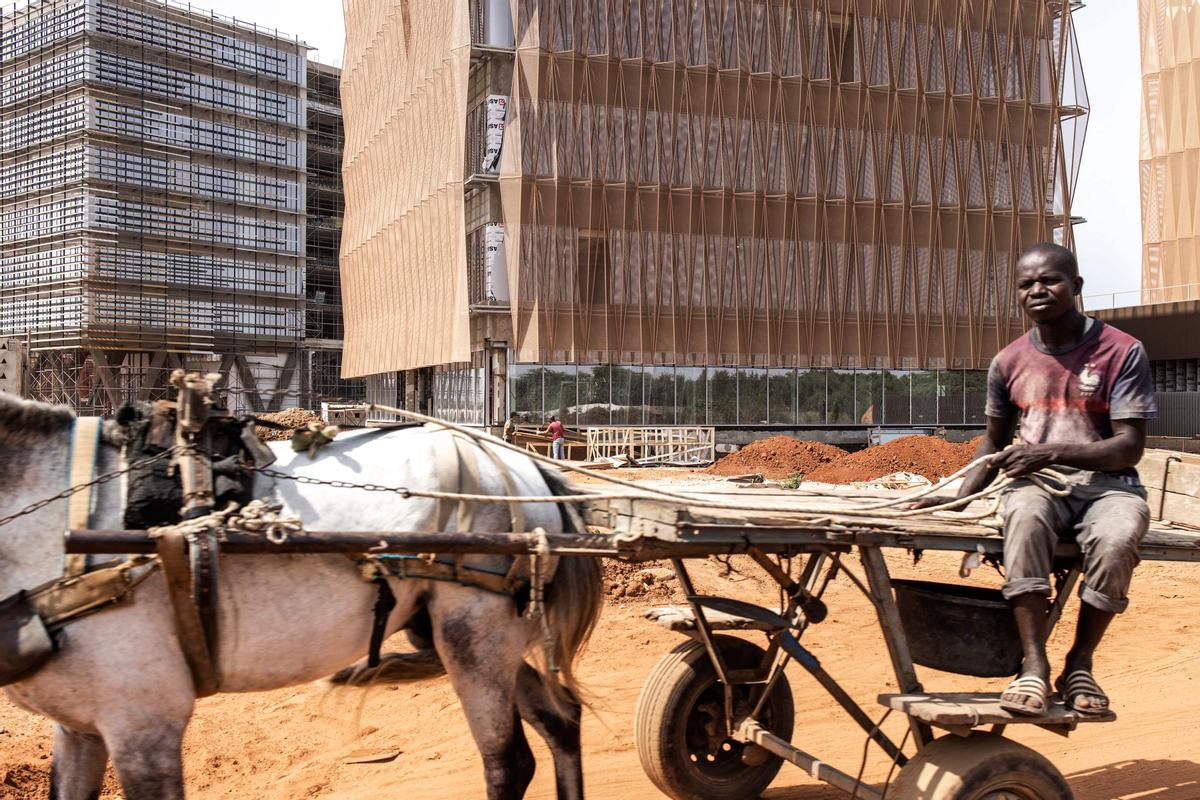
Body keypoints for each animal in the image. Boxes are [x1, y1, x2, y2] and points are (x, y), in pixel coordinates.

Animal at [0, 395, 600, 800]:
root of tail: (525, 466)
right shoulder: (78, 726)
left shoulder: (143, 719)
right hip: (466, 632)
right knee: (561, 720)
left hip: (475, 632)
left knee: (508, 762)